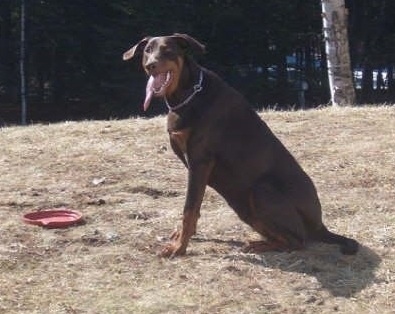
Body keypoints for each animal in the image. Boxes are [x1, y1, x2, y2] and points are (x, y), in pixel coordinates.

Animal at [123, 33, 358, 258]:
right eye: (148, 50)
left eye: (168, 50)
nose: (150, 65)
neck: (188, 94)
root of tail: (320, 226)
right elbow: (194, 208)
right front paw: (180, 237)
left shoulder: (200, 161)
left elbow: (189, 209)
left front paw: (178, 248)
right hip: (242, 205)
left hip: (261, 191)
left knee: (299, 241)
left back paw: (259, 246)